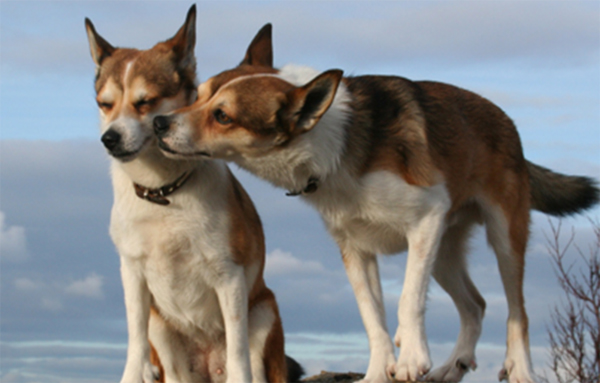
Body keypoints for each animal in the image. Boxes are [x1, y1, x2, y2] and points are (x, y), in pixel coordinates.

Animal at [84, 9, 300, 383]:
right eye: (104, 104)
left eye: (145, 102)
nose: (110, 139)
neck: (163, 192)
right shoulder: (132, 274)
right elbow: (135, 338)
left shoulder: (229, 277)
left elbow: (238, 351)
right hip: (163, 331)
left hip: (264, 310)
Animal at [151, 24, 600, 383]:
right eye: (198, 95)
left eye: (223, 116)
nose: (158, 124)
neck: (335, 146)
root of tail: (507, 123)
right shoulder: (356, 249)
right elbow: (372, 317)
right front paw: (377, 372)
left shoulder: (425, 219)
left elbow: (408, 298)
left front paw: (412, 358)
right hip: (444, 251)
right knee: (475, 305)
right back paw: (451, 367)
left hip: (502, 235)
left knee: (516, 310)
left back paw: (518, 367)